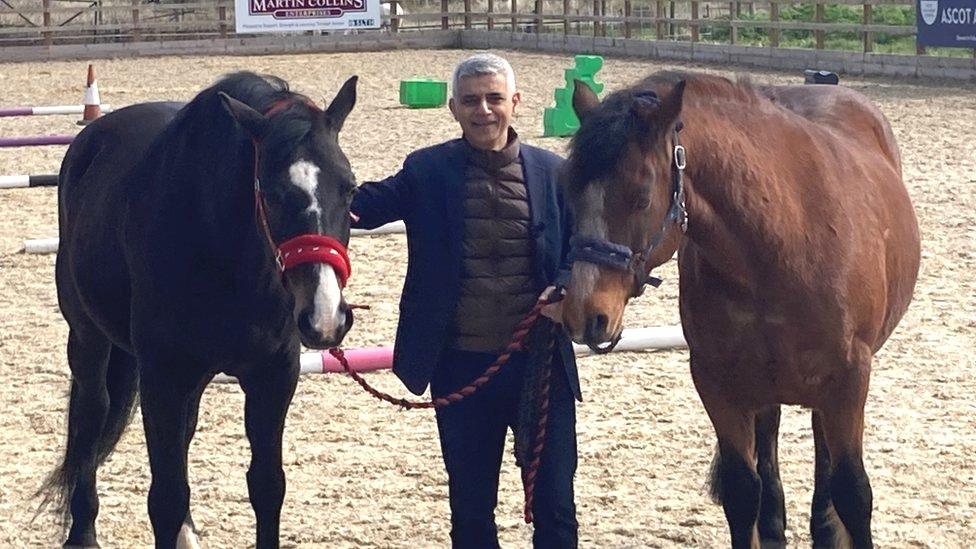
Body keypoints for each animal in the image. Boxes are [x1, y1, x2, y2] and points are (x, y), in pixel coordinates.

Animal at [560, 70, 920, 544]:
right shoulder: (718, 384)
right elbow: (743, 490)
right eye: (570, 190)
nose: (586, 314)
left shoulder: (849, 379)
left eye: (640, 197)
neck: (782, 238)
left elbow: (853, 493)